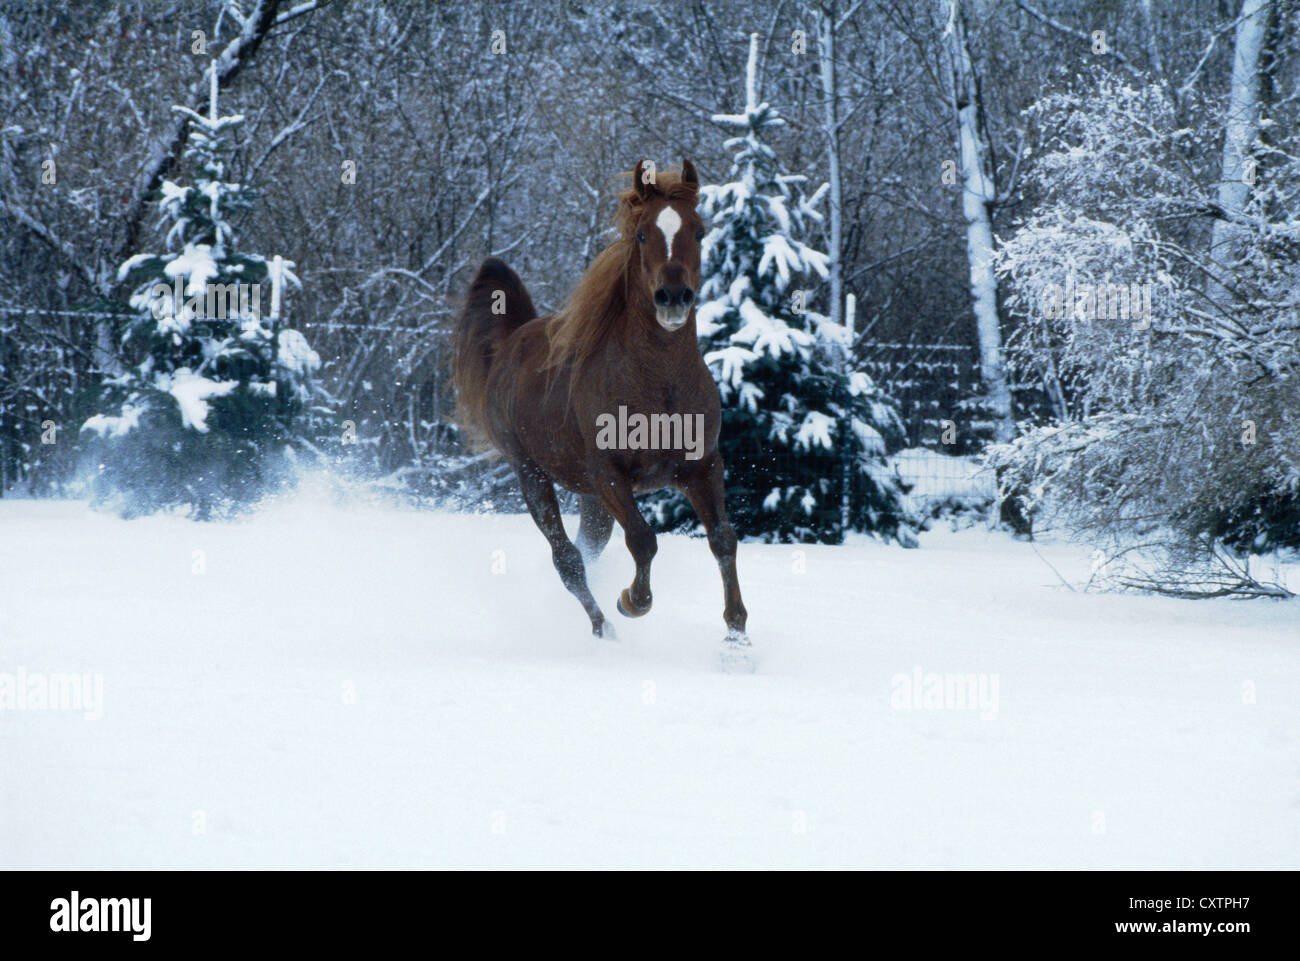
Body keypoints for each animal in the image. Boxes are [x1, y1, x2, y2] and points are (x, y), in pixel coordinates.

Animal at [452, 161, 748, 650]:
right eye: (642, 234)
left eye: (700, 231)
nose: (673, 297)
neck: (660, 386)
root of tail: (511, 341)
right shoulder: (609, 473)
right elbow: (644, 539)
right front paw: (633, 601)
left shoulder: (703, 466)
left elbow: (723, 539)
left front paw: (738, 638)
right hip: (533, 475)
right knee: (568, 560)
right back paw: (603, 628)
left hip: (591, 499)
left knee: (586, 550)